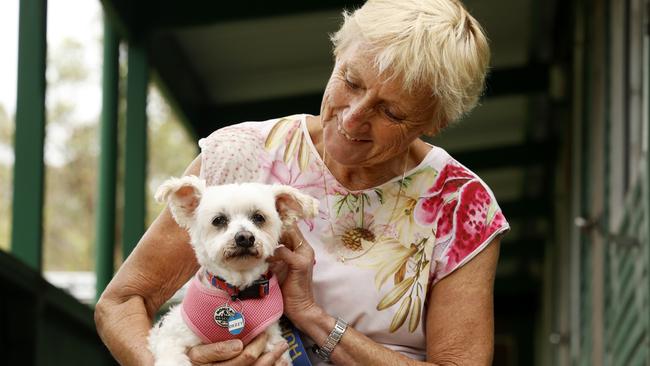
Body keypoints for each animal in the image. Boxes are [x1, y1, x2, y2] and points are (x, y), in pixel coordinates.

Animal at [147, 176, 318, 364]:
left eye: (259, 217)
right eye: (218, 220)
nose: (245, 237)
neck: (236, 290)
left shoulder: (273, 345)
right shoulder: (172, 335)